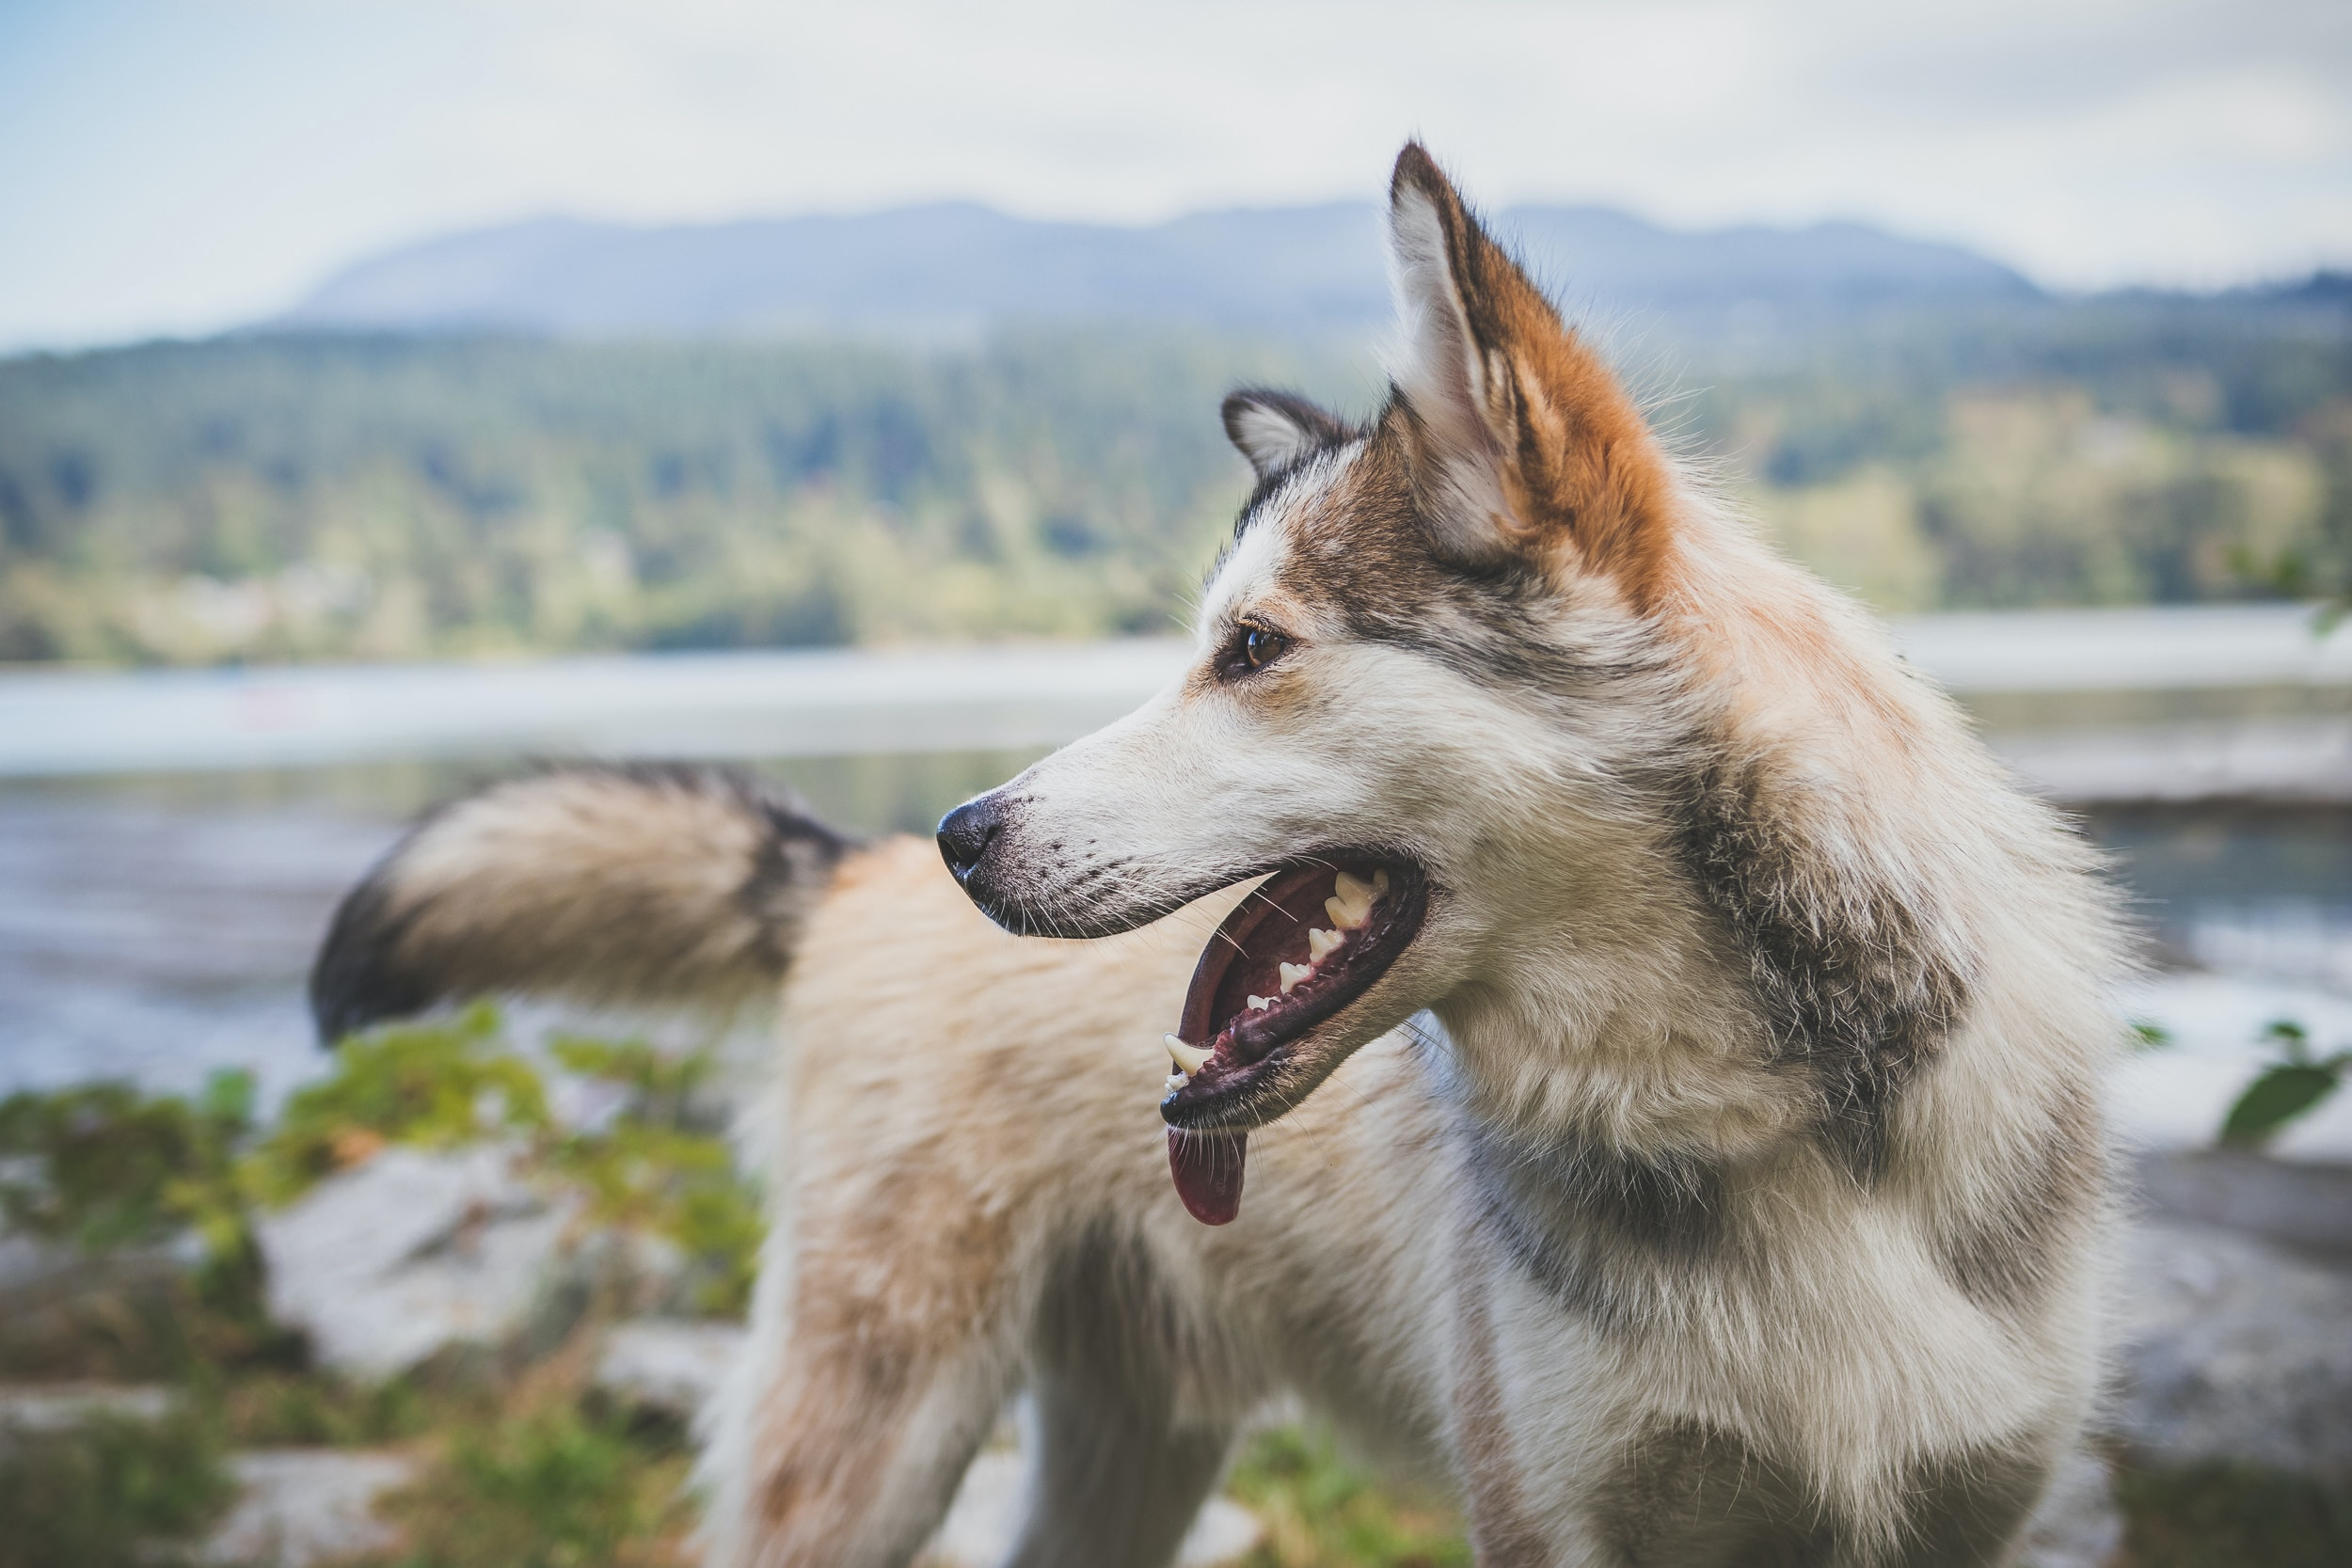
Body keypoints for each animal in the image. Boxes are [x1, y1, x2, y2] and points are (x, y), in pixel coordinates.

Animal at [312, 144, 2136, 1560]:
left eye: (1250, 651)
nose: (966, 834)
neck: (1791, 1134)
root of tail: (845, 869)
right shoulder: (1557, 1518)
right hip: (874, 1442)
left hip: (1121, 1459)